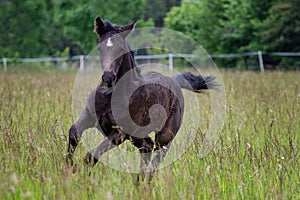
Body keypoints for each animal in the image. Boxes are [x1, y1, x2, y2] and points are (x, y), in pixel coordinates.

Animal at [66, 17, 216, 184]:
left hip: (164, 136)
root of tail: (175, 81)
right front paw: (70, 169)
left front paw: (83, 179)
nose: (108, 77)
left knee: (156, 158)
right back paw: (138, 182)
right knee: (147, 147)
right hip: (137, 136)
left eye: (121, 49)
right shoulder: (88, 117)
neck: (110, 96)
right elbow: (73, 133)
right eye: (99, 48)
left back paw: (145, 185)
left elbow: (90, 156)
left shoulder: (120, 133)